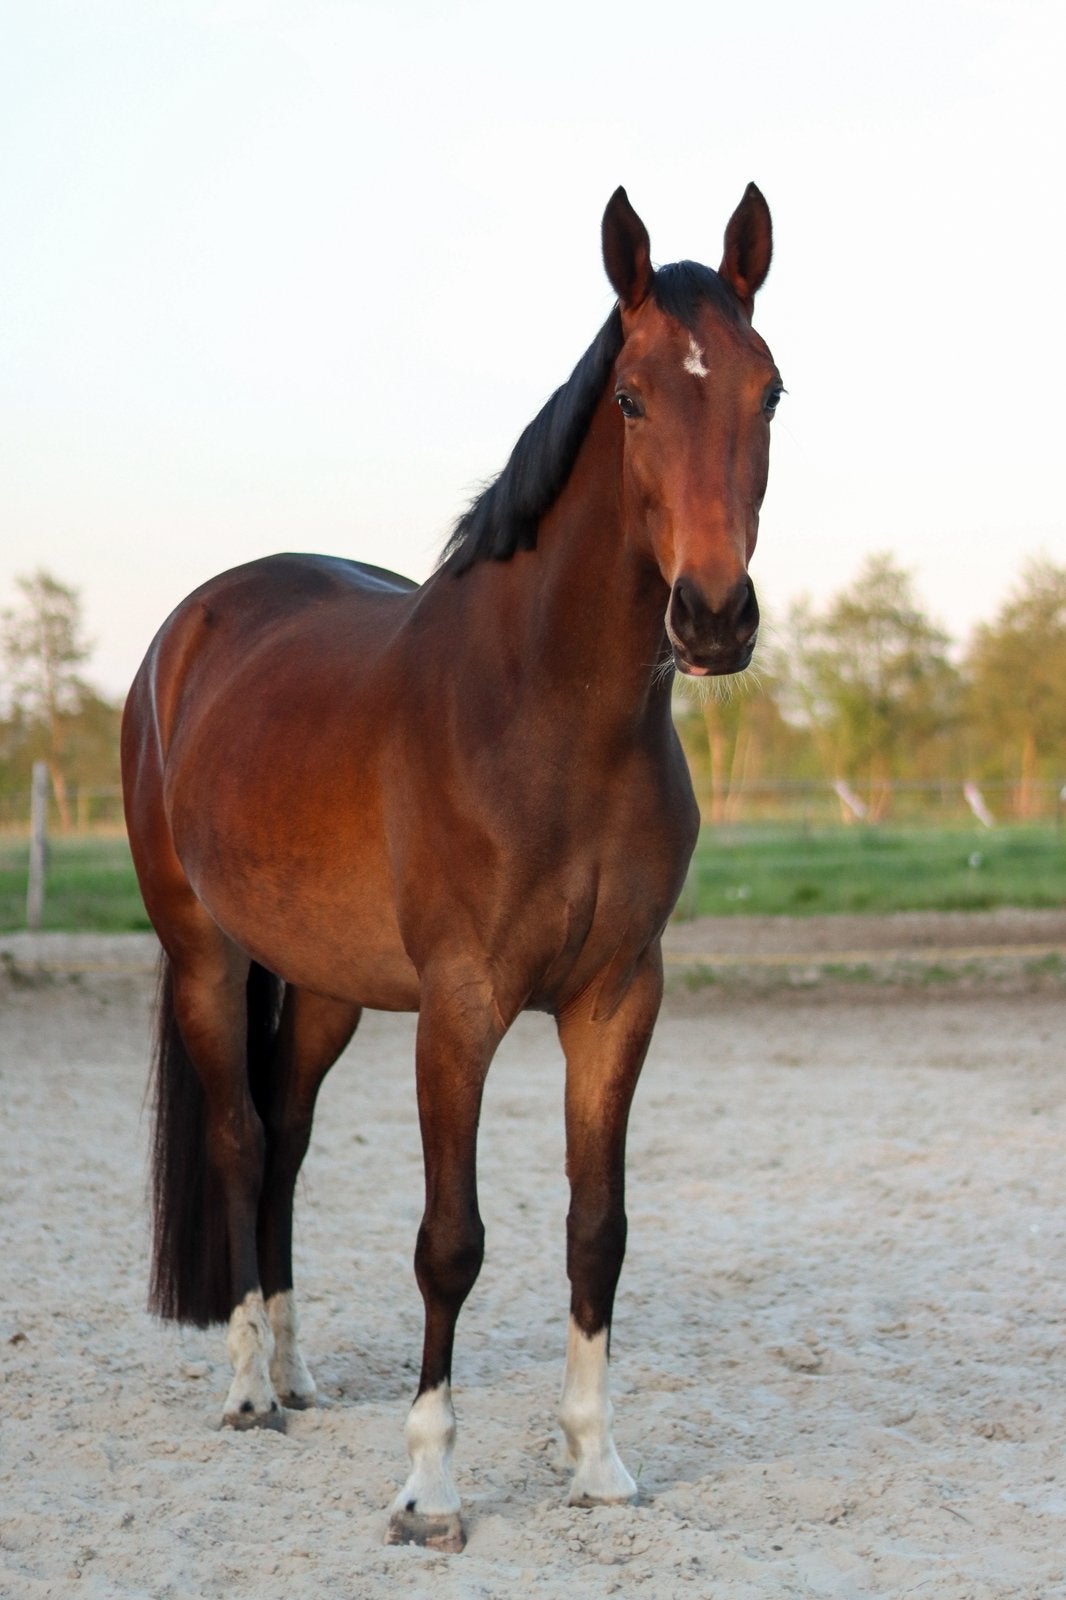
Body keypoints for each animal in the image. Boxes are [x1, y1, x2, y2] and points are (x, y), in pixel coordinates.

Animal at [121, 182, 780, 1551]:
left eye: (770, 391)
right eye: (630, 397)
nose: (712, 617)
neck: (547, 711)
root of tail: (189, 630)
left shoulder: (616, 999)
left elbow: (597, 1229)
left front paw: (596, 1461)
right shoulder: (461, 1009)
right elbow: (450, 1242)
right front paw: (427, 1487)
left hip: (325, 985)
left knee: (288, 1137)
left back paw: (299, 1369)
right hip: (206, 955)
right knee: (239, 1140)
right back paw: (249, 1386)